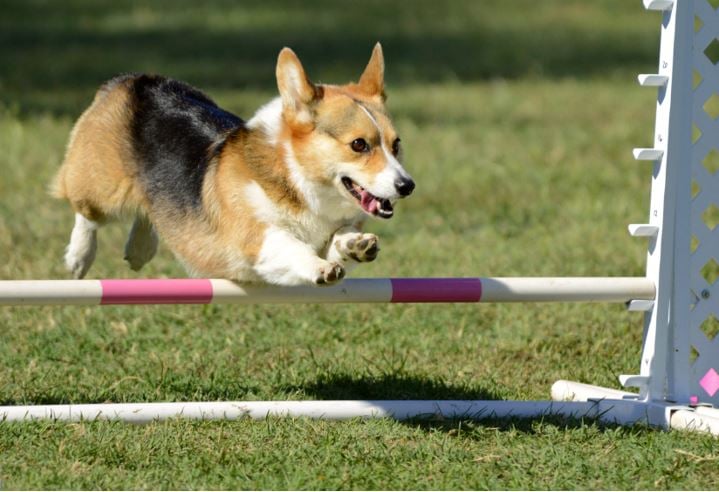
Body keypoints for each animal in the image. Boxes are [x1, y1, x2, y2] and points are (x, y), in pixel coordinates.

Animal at [52, 45, 416, 288]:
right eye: (359, 144)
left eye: (396, 144)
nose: (407, 186)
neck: (298, 180)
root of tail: (129, 80)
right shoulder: (257, 238)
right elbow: (291, 246)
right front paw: (318, 267)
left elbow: (339, 240)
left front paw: (355, 244)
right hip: (101, 186)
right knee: (86, 211)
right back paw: (79, 257)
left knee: (149, 208)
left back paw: (139, 249)